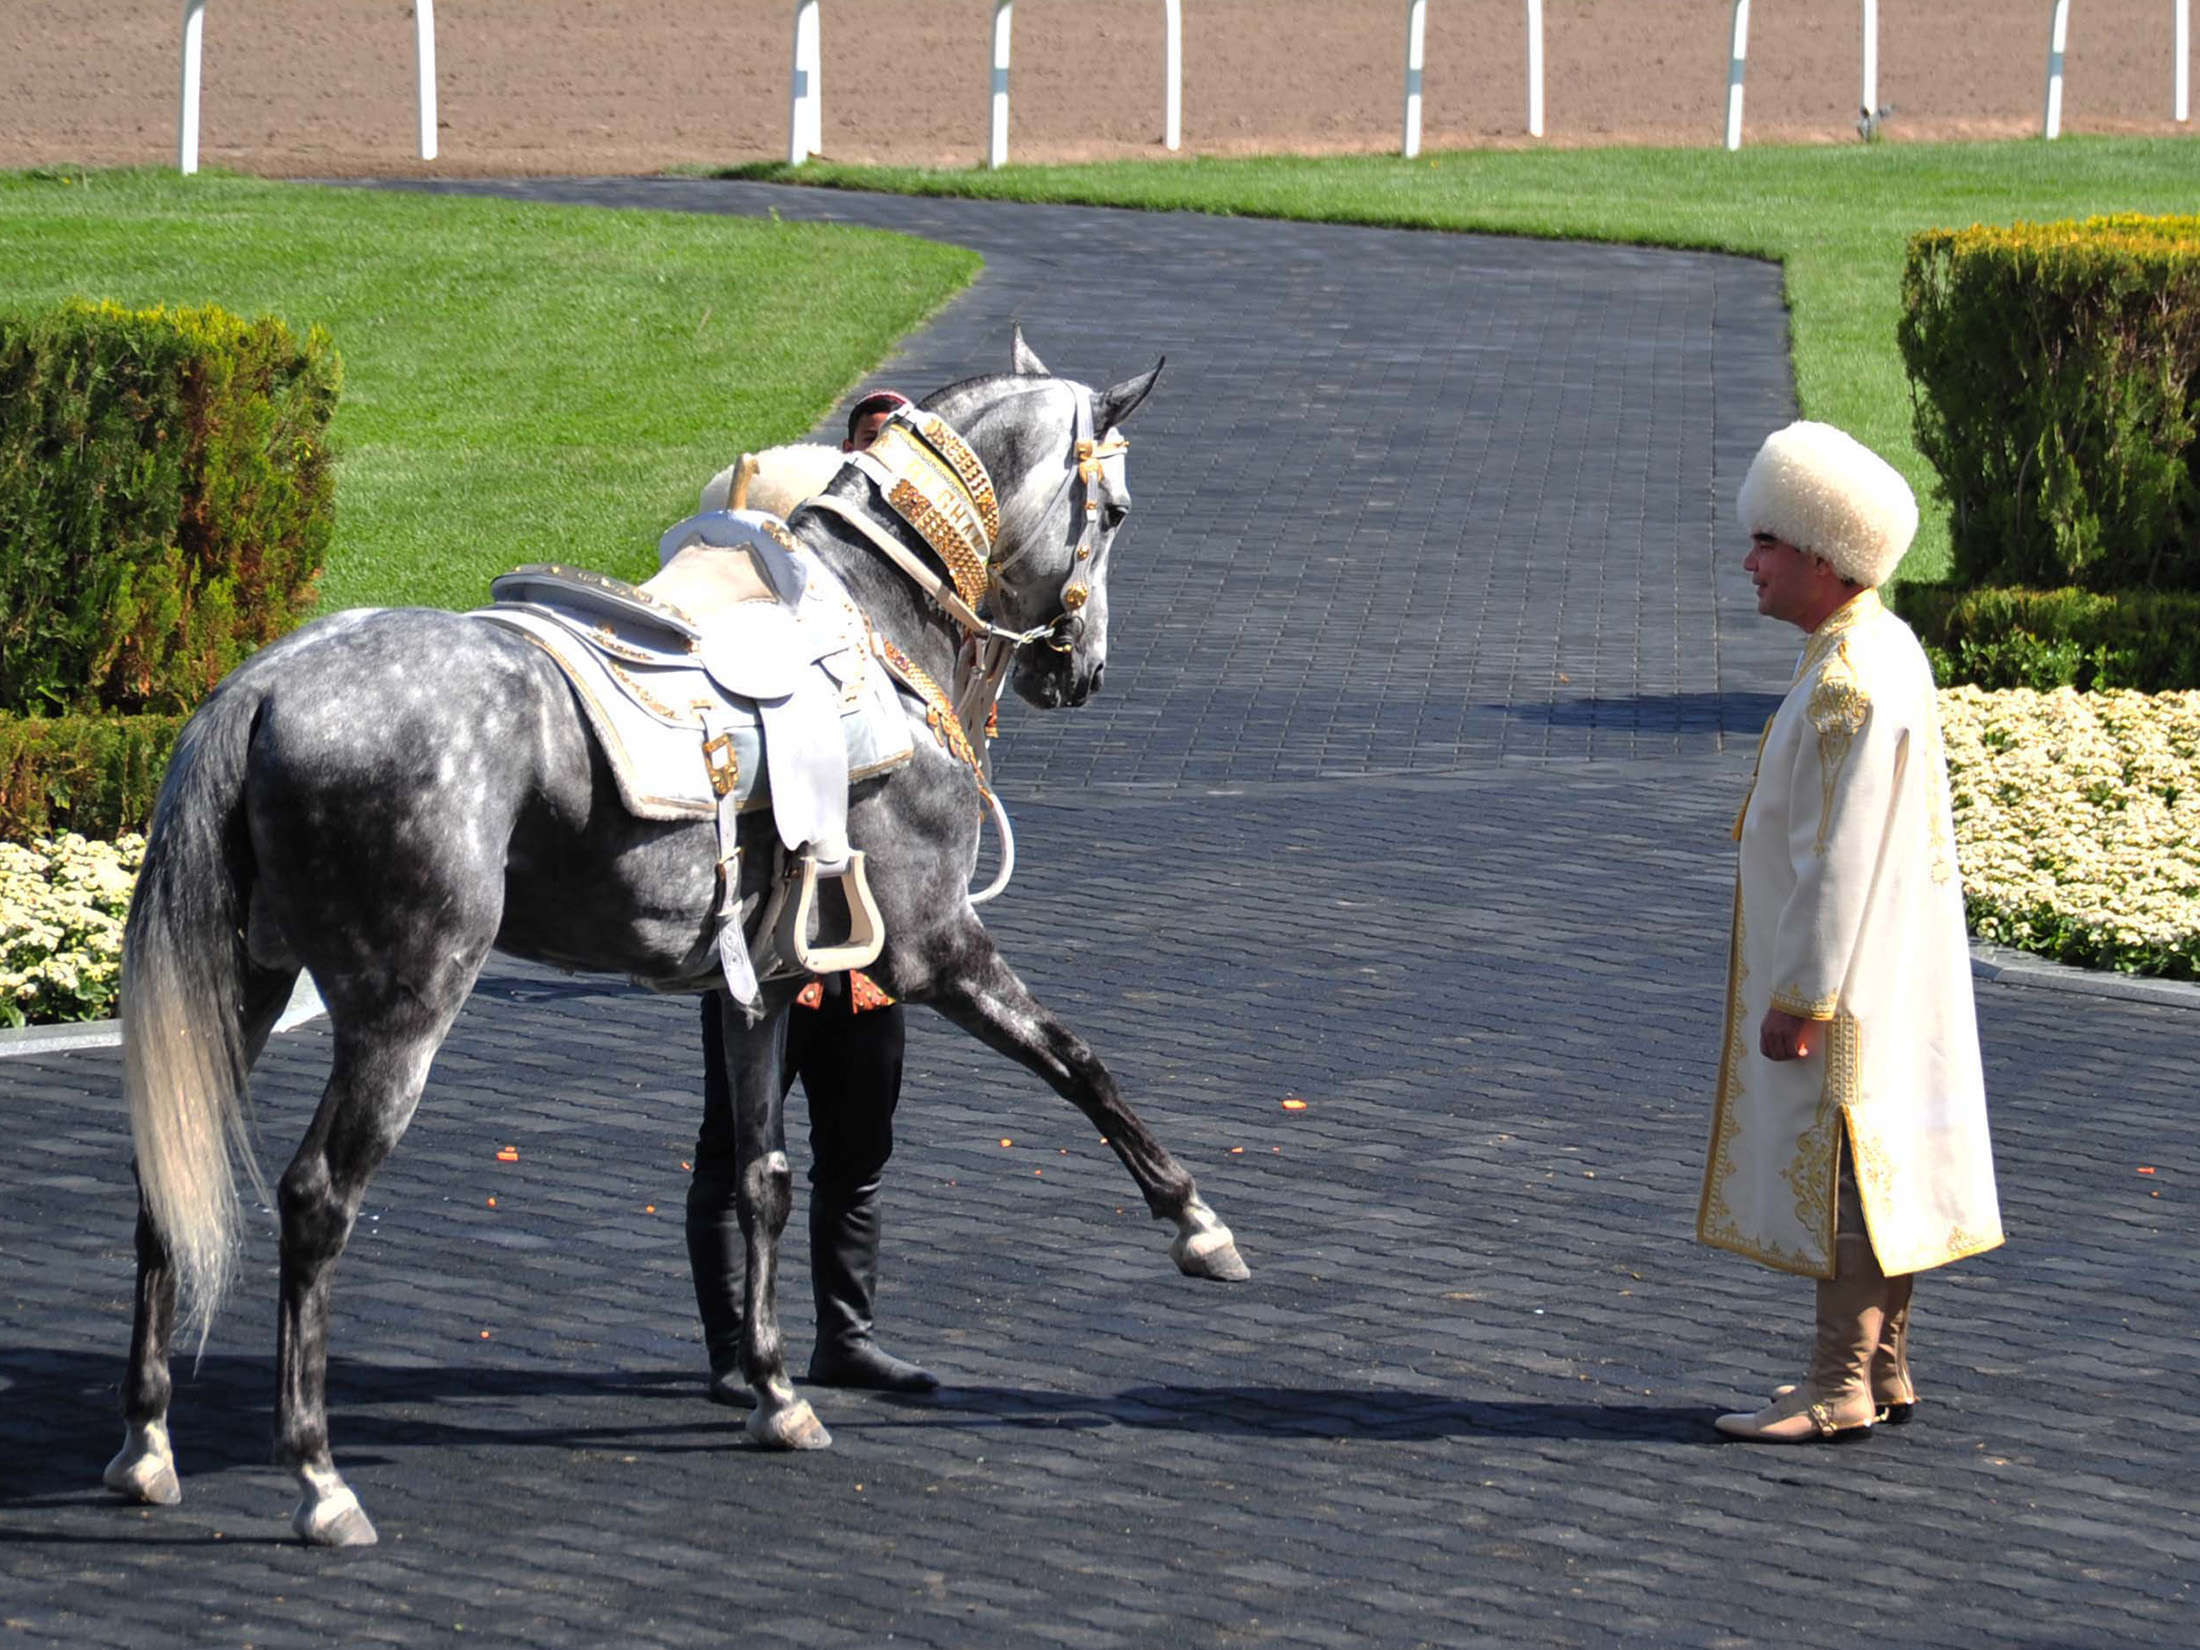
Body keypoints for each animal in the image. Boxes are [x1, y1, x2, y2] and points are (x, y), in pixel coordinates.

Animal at [107, 336, 1240, 1548]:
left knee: (164, 1180)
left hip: (248, 981)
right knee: (317, 1199)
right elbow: (1079, 1062)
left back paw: (146, 1446)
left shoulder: (760, 989)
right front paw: (1195, 1221)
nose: (1078, 671)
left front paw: (778, 1393)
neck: (877, 625)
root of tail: (259, 688)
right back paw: (319, 1479)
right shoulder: (933, 944)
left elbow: (761, 1177)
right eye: (1114, 511)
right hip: (405, 1003)